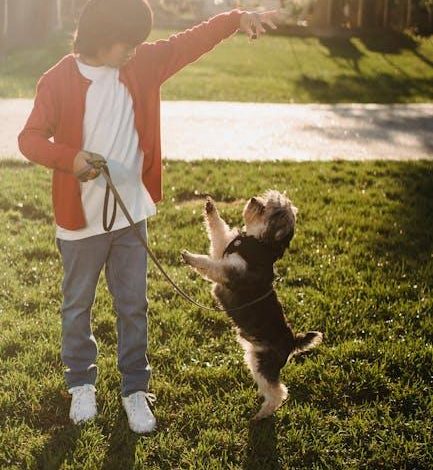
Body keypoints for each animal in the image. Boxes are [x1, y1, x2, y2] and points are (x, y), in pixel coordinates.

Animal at [181, 189, 322, 420]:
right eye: (266, 201)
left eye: (268, 210)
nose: (254, 199)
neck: (257, 242)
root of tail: (292, 341)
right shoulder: (222, 250)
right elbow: (218, 231)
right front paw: (210, 208)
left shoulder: (229, 271)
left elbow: (209, 264)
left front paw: (191, 257)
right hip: (253, 357)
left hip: (263, 365)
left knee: (279, 392)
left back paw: (261, 415)